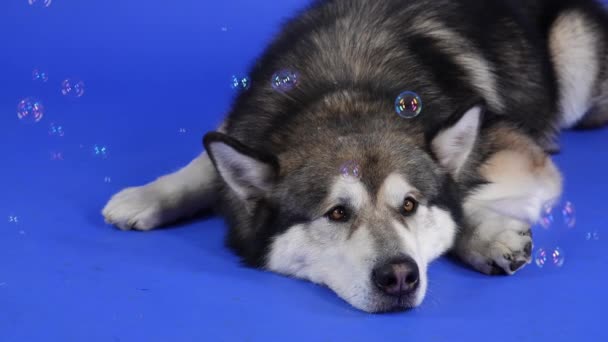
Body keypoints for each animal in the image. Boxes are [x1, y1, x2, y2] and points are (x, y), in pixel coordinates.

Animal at [102, 0, 608, 312]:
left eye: (409, 205)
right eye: (337, 213)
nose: (399, 276)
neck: (344, 94)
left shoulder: (517, 152)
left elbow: (463, 202)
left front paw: (486, 237)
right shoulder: (240, 123)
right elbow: (204, 163)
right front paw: (147, 196)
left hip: (573, 49)